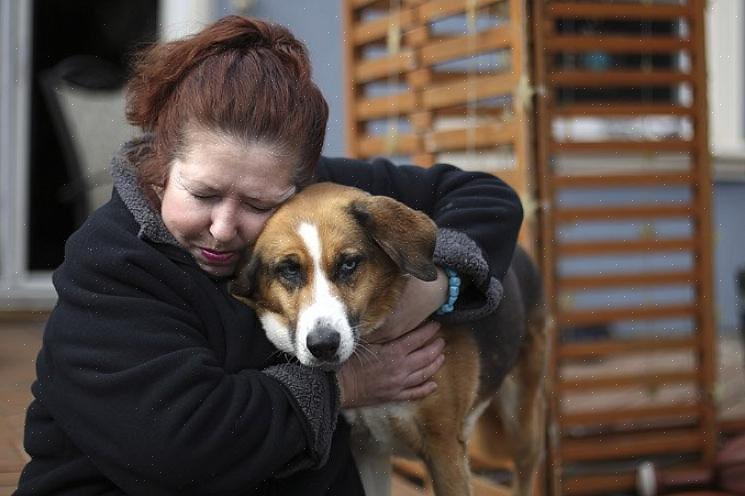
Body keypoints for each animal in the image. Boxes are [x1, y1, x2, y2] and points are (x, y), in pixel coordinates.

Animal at [231, 183, 548, 496]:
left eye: (349, 264)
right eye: (289, 269)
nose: (323, 345)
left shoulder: (444, 448)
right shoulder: (366, 450)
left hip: (521, 419)